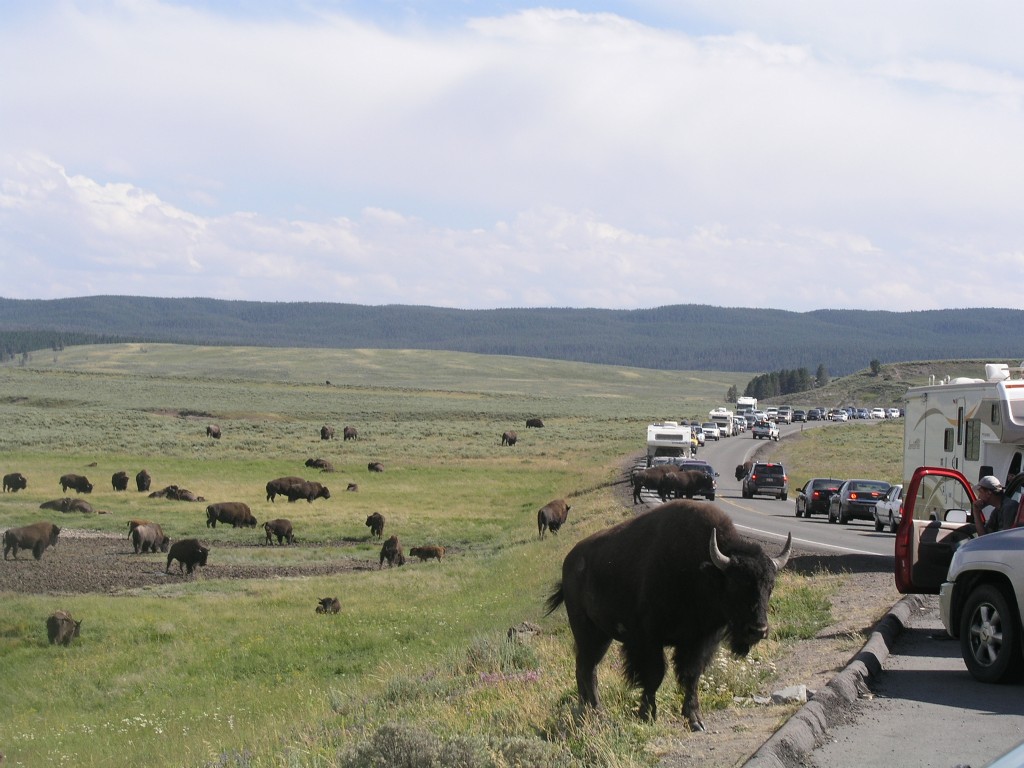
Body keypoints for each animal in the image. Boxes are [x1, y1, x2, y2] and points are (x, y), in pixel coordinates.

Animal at [544, 501, 790, 729]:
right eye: (735, 585)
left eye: (770, 586)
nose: (758, 630)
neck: (703, 571)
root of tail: (569, 562)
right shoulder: (647, 640)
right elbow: (655, 675)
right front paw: (647, 715)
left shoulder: (699, 641)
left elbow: (691, 675)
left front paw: (695, 719)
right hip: (586, 631)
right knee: (587, 669)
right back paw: (596, 712)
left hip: (601, 636)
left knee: (586, 668)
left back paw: (587, 709)